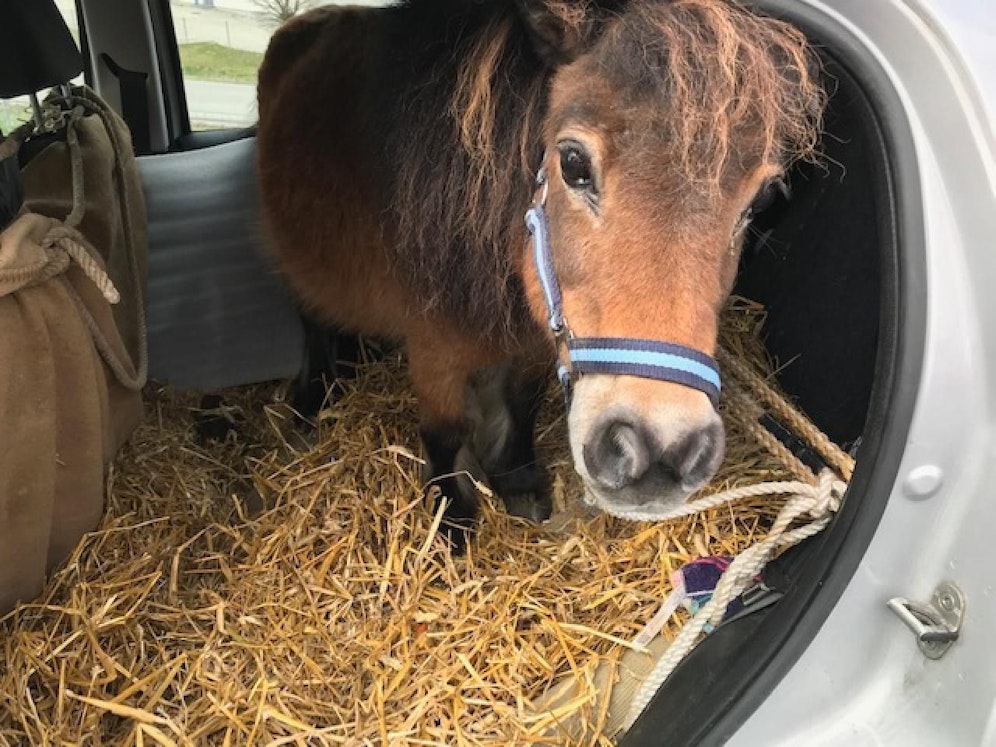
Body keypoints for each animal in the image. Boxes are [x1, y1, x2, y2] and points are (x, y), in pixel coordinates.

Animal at [255, 0, 824, 544]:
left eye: (763, 199)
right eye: (572, 162)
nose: (660, 451)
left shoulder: (534, 339)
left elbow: (519, 404)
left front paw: (518, 483)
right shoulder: (433, 347)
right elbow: (445, 430)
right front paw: (452, 521)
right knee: (313, 322)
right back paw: (309, 406)